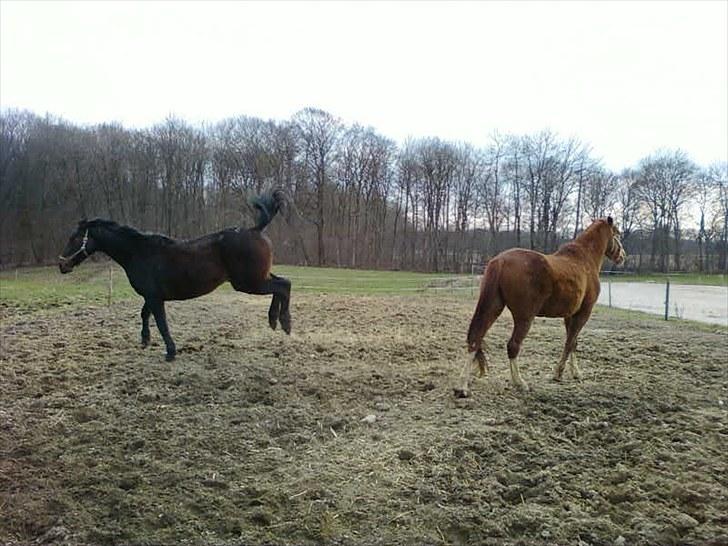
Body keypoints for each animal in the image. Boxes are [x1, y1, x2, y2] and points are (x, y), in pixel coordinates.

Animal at [59, 189, 292, 360]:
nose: (62, 265)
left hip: (249, 283)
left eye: (74, 238)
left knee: (283, 285)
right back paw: (276, 321)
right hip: (257, 278)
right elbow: (144, 314)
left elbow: (161, 323)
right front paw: (145, 340)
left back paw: (284, 322)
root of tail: (256, 229)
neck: (139, 252)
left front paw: (170, 352)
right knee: (283, 283)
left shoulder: (155, 297)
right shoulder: (151, 296)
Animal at [456, 216, 624, 396]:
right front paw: (558, 373)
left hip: (493, 308)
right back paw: (520, 382)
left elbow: (573, 342)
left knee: (476, 338)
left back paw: (462, 386)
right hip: (524, 317)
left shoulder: (570, 315)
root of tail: (501, 261)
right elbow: (570, 342)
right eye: (617, 234)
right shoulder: (584, 313)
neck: (584, 260)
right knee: (513, 345)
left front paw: (575, 373)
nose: (622, 256)